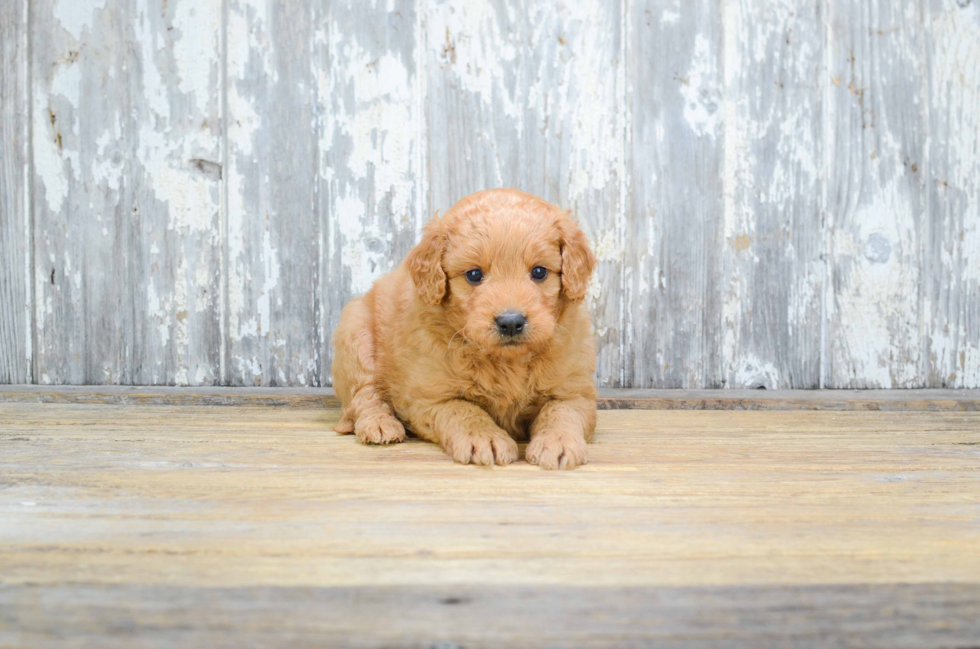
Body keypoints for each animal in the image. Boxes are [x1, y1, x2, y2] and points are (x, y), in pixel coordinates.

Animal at [332, 185, 596, 468]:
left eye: (539, 272)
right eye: (474, 275)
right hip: (355, 333)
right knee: (364, 394)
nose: (511, 322)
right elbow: (464, 409)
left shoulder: (575, 391)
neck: (506, 361)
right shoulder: (430, 396)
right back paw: (380, 425)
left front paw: (558, 442)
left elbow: (560, 411)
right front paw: (485, 438)